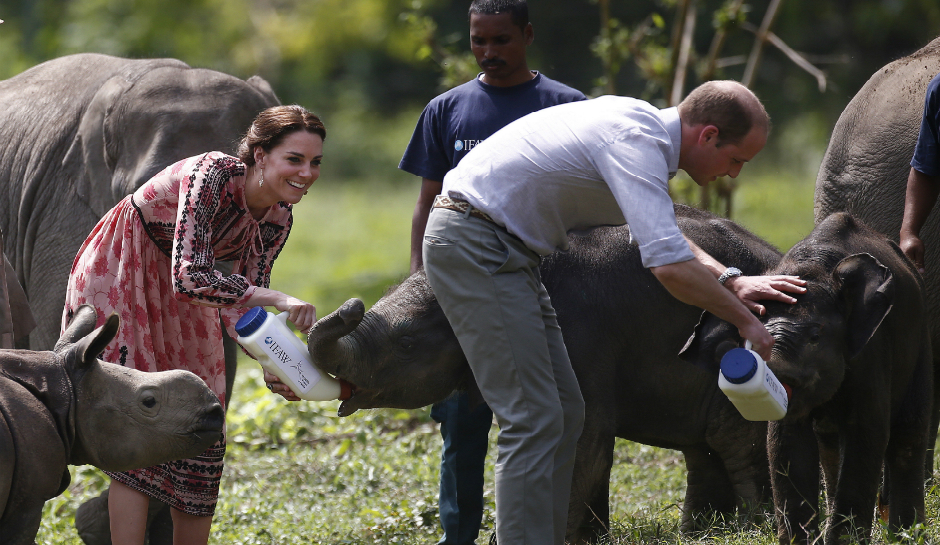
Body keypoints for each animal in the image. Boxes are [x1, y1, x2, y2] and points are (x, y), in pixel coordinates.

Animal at [684, 212, 932, 544]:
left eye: (815, 336)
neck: (814, 270)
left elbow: (867, 432)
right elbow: (786, 441)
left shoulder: (871, 349)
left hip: (920, 339)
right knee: (829, 442)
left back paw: (907, 534)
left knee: (908, 432)